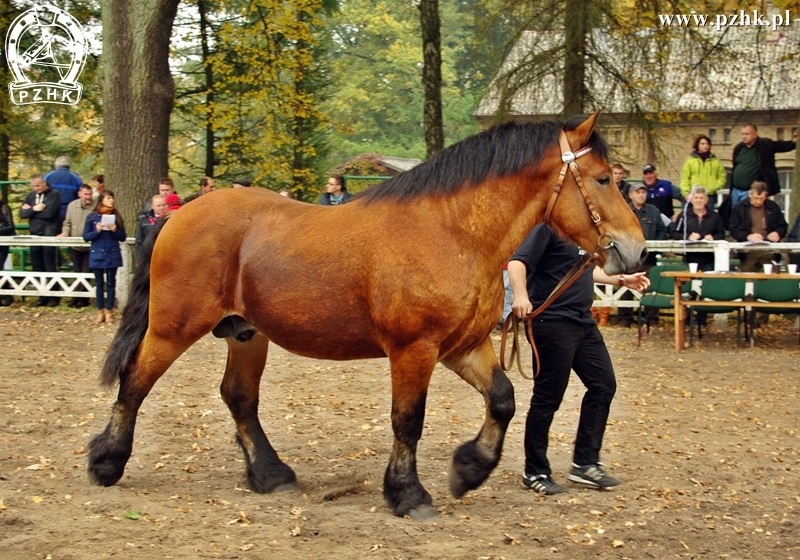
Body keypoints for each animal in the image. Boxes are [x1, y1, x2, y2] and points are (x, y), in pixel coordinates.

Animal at [87, 111, 648, 520]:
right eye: (603, 179)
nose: (636, 252)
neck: (452, 232)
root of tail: (178, 214)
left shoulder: (463, 347)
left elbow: (504, 400)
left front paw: (469, 470)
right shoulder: (413, 350)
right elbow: (408, 421)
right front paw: (407, 495)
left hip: (247, 335)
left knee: (239, 397)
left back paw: (270, 474)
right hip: (173, 327)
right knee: (135, 382)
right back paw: (106, 462)